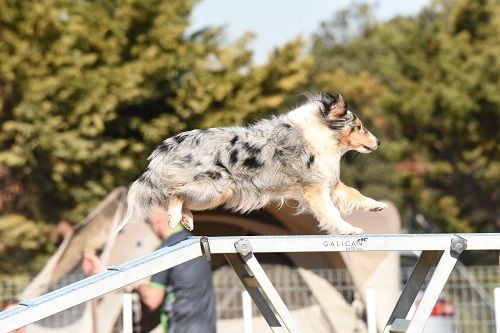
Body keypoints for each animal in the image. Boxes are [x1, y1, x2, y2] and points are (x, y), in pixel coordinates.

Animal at [119, 92, 388, 235]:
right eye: (359, 126)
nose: (378, 141)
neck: (322, 133)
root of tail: (167, 145)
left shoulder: (328, 182)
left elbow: (354, 193)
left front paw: (376, 206)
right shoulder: (315, 188)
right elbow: (331, 213)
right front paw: (349, 229)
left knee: (182, 197)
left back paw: (186, 219)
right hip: (218, 186)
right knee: (175, 193)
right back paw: (175, 217)